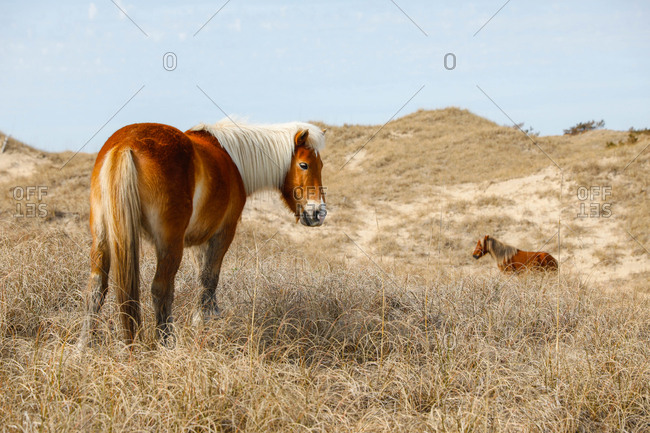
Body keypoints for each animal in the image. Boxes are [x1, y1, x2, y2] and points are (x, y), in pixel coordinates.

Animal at [78, 119, 327, 347]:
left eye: (321, 165)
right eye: (304, 165)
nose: (319, 213)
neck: (232, 159)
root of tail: (125, 146)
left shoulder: (197, 240)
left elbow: (201, 276)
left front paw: (205, 315)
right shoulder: (222, 234)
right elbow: (210, 277)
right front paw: (206, 318)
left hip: (102, 239)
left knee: (96, 289)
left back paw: (84, 345)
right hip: (169, 244)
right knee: (161, 288)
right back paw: (166, 342)